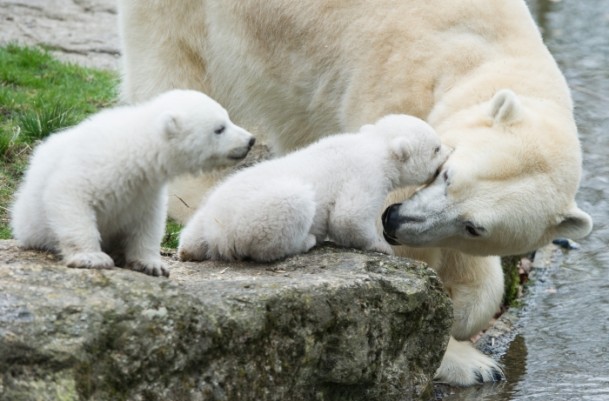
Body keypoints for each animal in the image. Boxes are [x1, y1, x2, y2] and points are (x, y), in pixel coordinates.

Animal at [11, 90, 254, 278]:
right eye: (219, 128)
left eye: (228, 118)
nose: (250, 140)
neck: (136, 149)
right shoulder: (96, 165)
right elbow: (70, 195)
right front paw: (92, 258)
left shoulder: (146, 190)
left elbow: (149, 222)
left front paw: (152, 265)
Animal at [178, 114, 448, 260]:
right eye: (436, 148)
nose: (450, 152)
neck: (374, 146)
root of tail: (216, 231)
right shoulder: (365, 175)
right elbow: (347, 218)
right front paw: (382, 246)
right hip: (257, 216)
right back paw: (305, 241)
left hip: (209, 207)